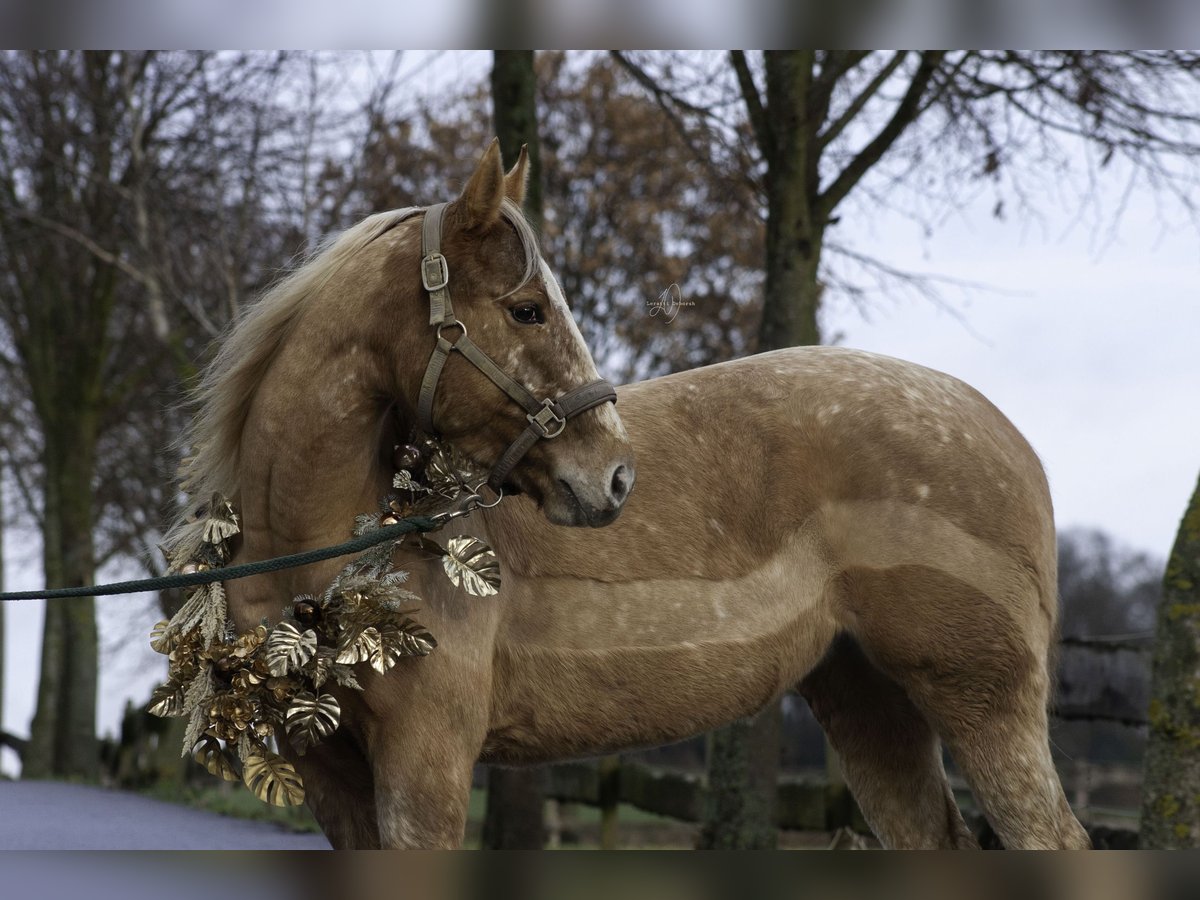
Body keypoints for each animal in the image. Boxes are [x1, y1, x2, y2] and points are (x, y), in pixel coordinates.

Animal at [174, 142, 1094, 854]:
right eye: (528, 309)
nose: (612, 477)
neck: (326, 549)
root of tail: (1008, 436)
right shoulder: (329, 771)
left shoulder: (424, 765)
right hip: (869, 704)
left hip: (982, 702)